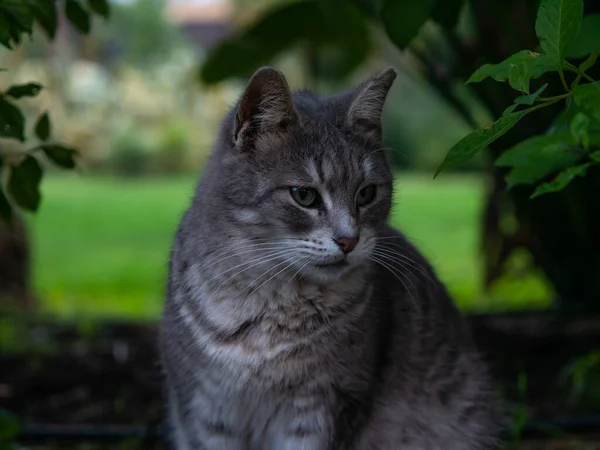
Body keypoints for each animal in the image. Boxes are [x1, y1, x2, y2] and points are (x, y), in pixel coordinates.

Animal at [158, 65, 502, 448]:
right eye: (304, 195)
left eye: (367, 193)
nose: (349, 240)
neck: (269, 306)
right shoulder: (203, 410)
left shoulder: (325, 405)